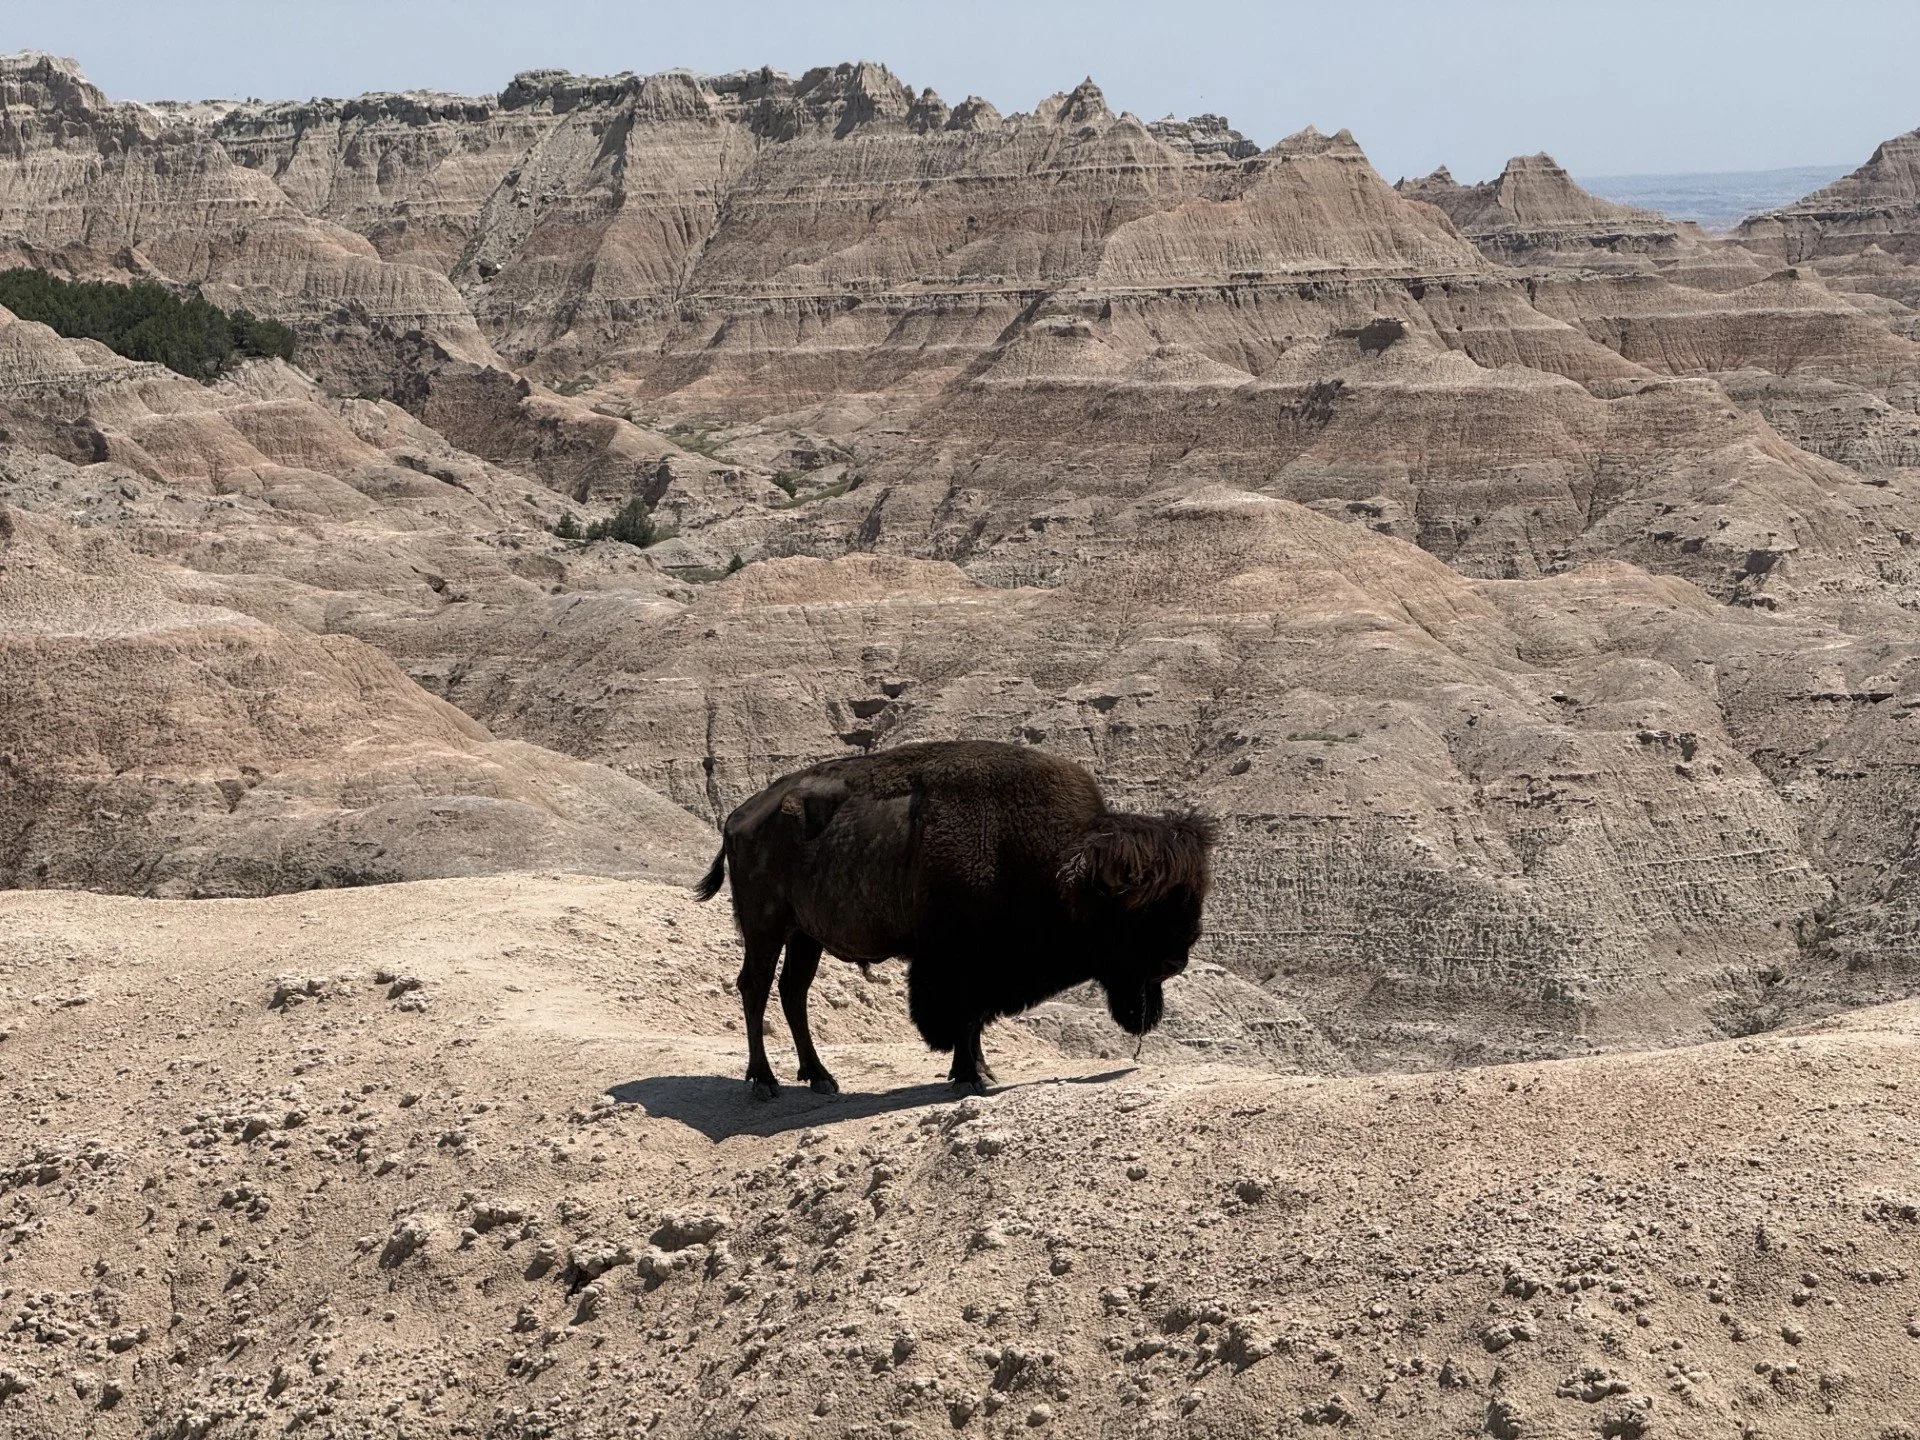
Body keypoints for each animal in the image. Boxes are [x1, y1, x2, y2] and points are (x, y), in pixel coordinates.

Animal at [693, 740, 1214, 1097]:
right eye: (1137, 908)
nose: (1176, 959)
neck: (1057, 864)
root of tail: (739, 816)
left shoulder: (979, 970)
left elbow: (974, 1021)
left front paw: (979, 1071)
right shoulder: (952, 967)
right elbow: (961, 1019)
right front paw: (971, 1076)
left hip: (806, 934)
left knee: (792, 990)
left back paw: (820, 1078)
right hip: (766, 927)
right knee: (756, 986)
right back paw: (765, 1082)